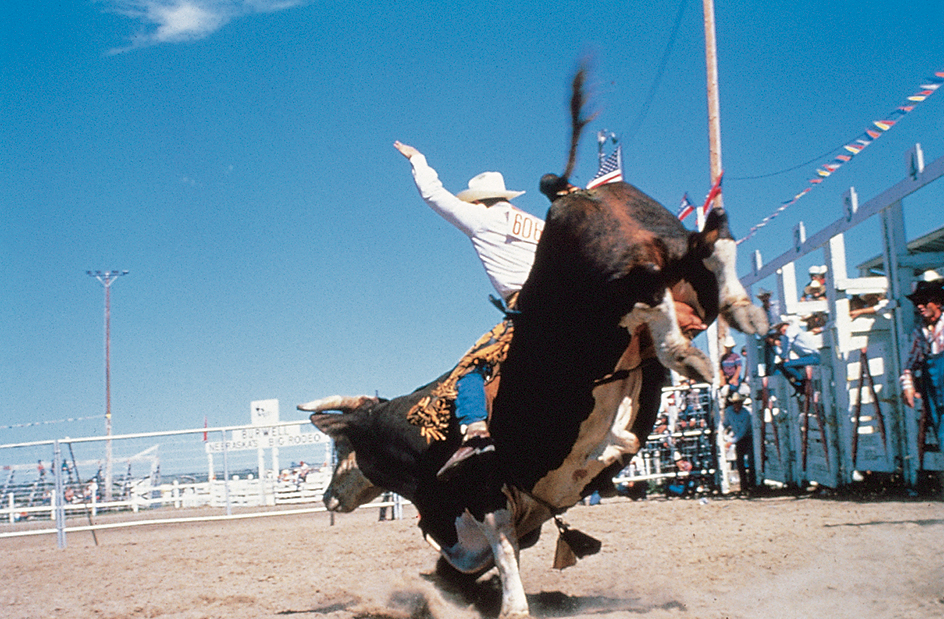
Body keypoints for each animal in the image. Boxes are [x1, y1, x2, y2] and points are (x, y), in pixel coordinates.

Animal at [298, 70, 764, 616]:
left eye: (342, 446)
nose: (328, 496)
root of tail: (570, 192)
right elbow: (486, 557)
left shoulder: (483, 494)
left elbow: (501, 551)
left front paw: (512, 606)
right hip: (680, 257)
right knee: (714, 243)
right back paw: (741, 310)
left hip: (614, 284)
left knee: (648, 289)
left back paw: (686, 351)